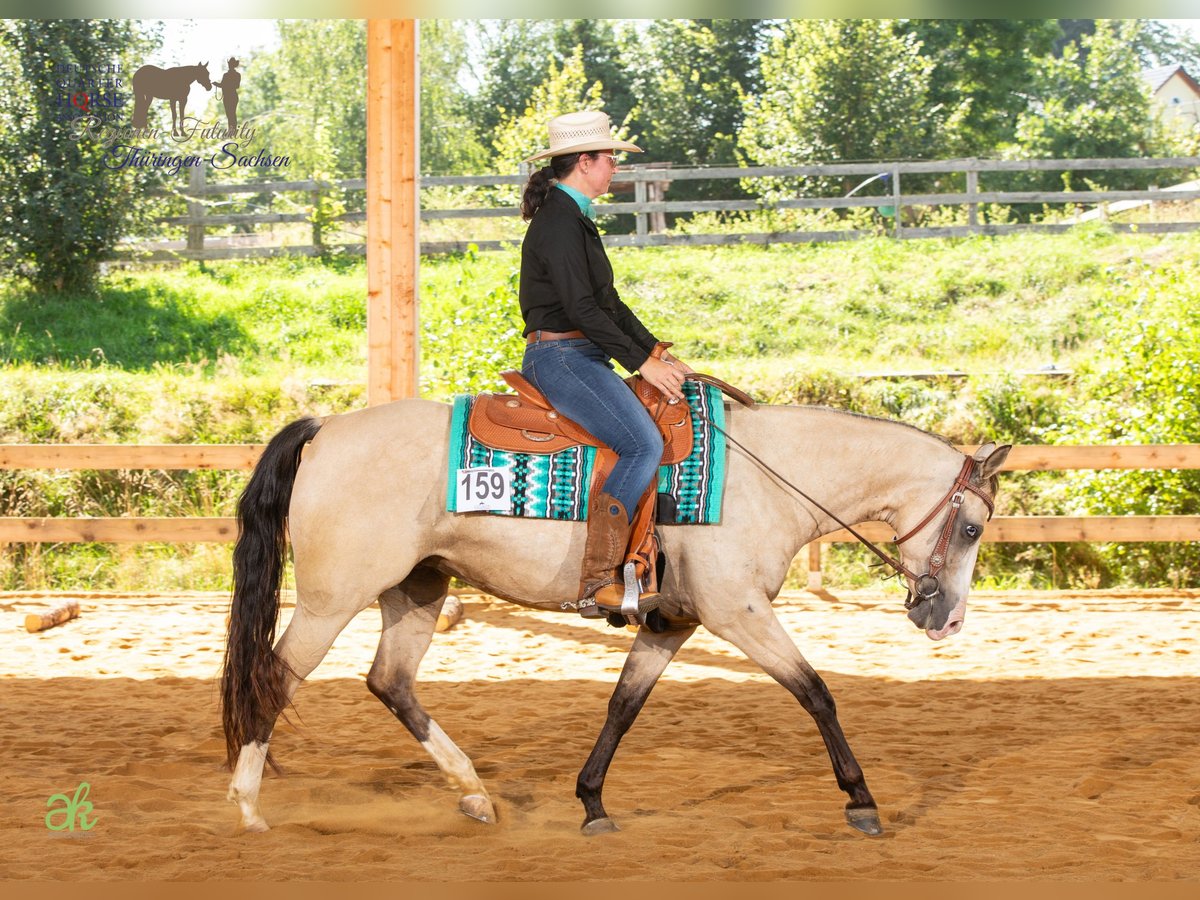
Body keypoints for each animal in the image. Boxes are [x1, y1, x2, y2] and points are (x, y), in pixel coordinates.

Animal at [220, 393, 1008, 840]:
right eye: (971, 528)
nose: (946, 619)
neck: (766, 478)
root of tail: (324, 429)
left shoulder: (673, 622)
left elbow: (624, 706)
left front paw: (592, 803)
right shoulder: (737, 611)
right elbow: (816, 691)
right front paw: (861, 800)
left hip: (418, 586)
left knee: (390, 682)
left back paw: (474, 794)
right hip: (332, 598)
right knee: (276, 677)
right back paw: (249, 808)